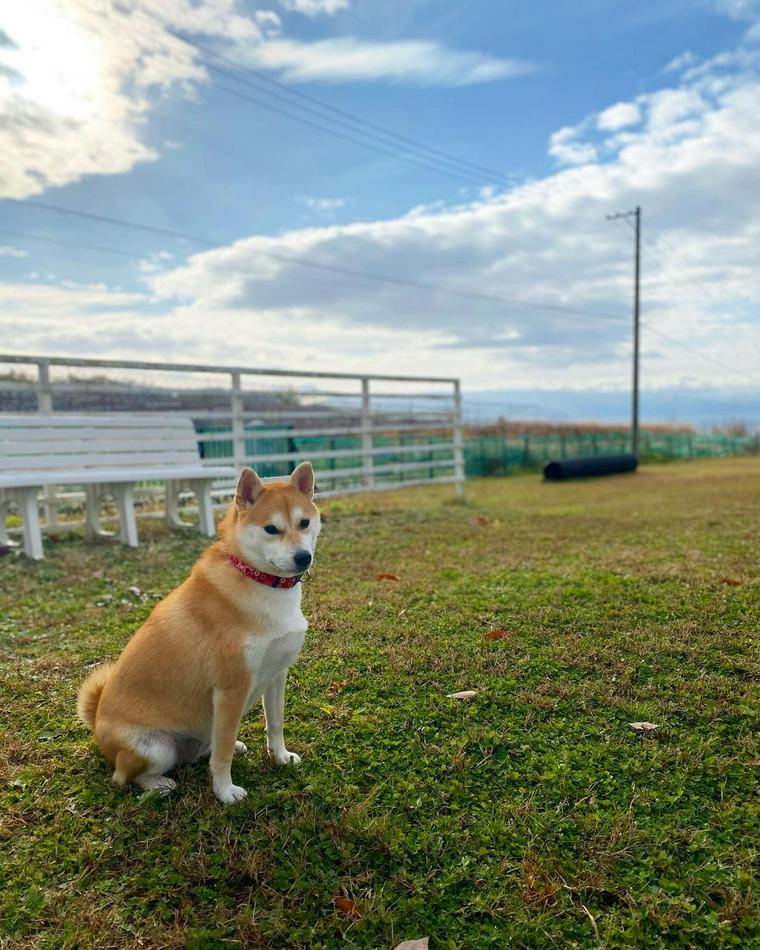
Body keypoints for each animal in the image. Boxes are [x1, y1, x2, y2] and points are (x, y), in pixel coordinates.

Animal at [74, 464, 318, 808]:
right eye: (271, 529)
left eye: (304, 522)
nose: (302, 557)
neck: (259, 581)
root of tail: (97, 725)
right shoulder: (230, 689)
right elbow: (223, 754)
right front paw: (225, 791)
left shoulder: (277, 673)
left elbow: (275, 724)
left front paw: (280, 758)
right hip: (155, 747)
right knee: (125, 777)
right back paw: (159, 784)